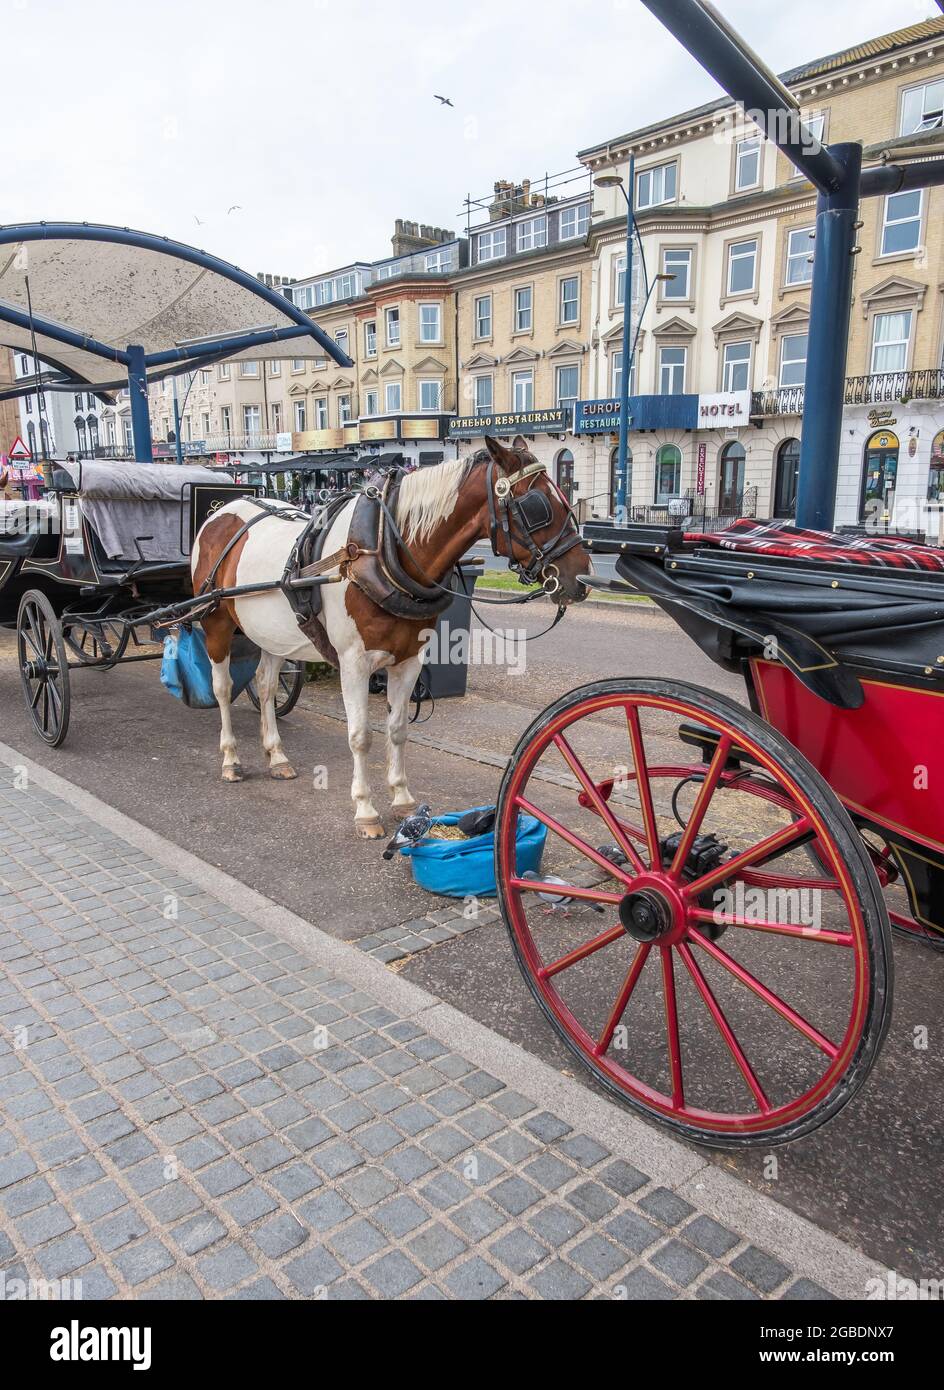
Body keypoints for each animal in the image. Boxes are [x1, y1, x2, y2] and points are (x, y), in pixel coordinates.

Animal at [191, 434, 592, 837]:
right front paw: (366, 810)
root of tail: (225, 510)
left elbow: (397, 729)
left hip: (273, 634)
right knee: (223, 688)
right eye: (538, 506)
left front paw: (401, 798)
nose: (583, 578)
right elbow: (360, 736)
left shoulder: (409, 660)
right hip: (216, 623)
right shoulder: (353, 663)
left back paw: (276, 756)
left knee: (266, 686)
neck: (382, 550)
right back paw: (230, 759)